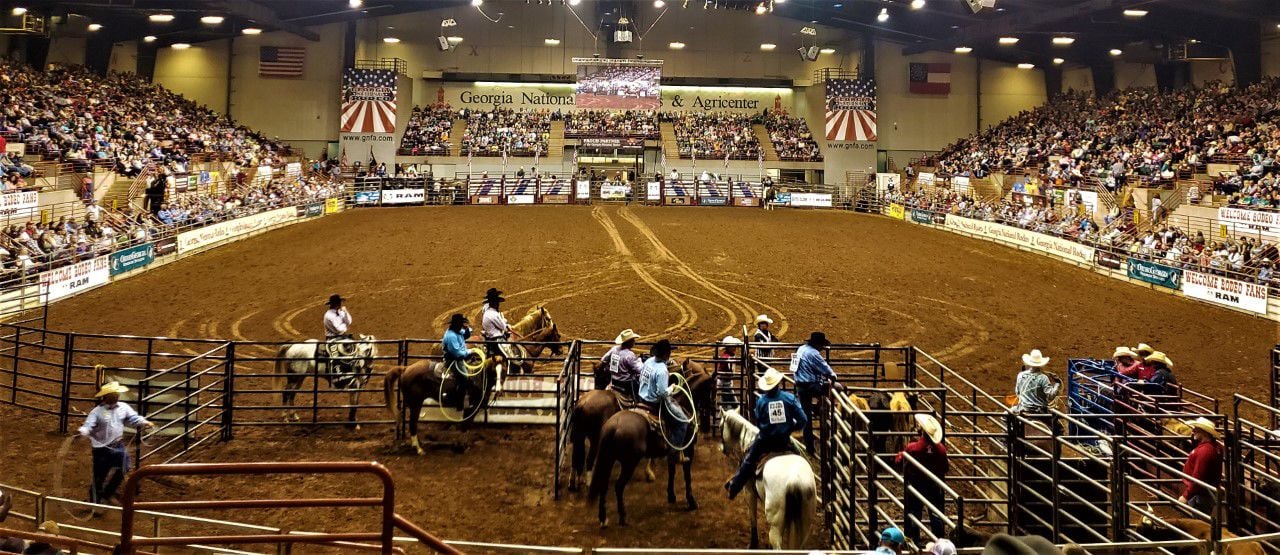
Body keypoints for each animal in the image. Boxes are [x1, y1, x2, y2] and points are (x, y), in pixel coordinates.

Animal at [716, 406, 814, 549]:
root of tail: (794, 482)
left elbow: (753, 517)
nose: (723, 449)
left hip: (776, 526)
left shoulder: (749, 492)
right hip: (804, 526)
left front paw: (753, 543)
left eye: (720, 426)